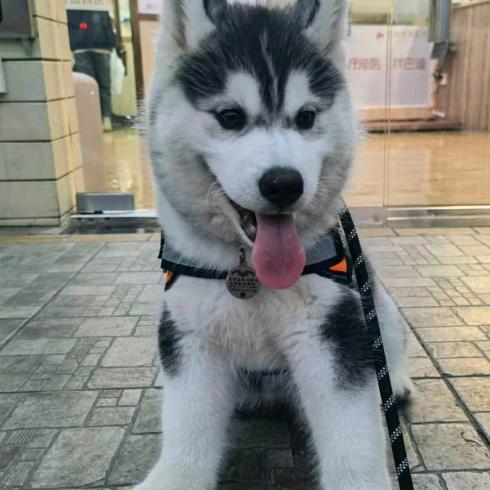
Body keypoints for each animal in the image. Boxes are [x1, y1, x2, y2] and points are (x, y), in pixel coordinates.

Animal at [136, 0, 413, 488]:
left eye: (306, 117)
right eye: (230, 116)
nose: (284, 184)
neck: (245, 266)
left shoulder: (333, 329)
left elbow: (353, 435)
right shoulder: (189, 332)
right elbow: (187, 426)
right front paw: (174, 477)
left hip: (376, 302)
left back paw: (394, 379)